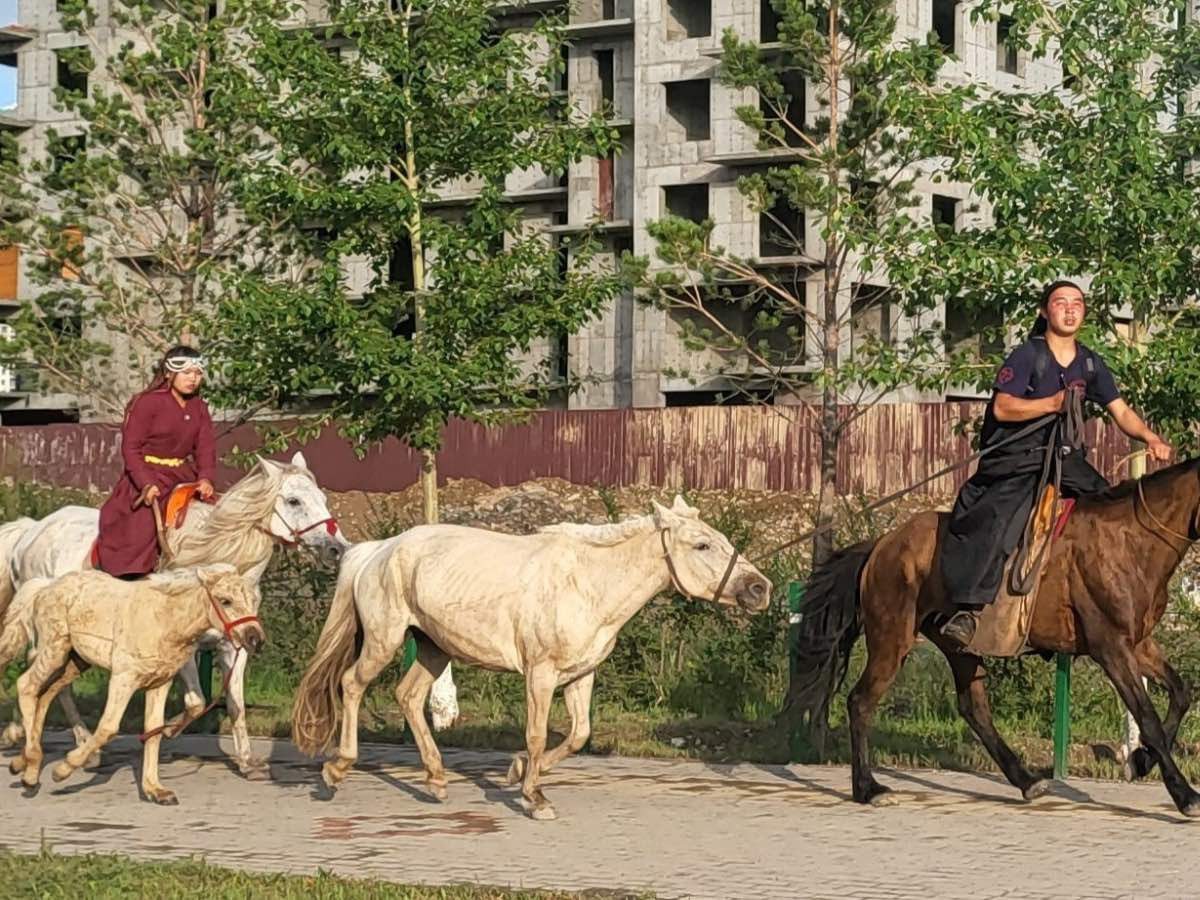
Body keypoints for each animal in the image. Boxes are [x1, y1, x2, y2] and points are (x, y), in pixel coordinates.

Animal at [0, 451, 350, 777]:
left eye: (323, 499)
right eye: (293, 500)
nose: (337, 548)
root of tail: (32, 530)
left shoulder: (234, 645)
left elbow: (235, 703)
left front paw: (246, 760)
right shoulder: (183, 648)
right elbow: (196, 703)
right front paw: (167, 731)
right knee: (42, 672)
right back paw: (61, 740)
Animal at [295, 496, 772, 820]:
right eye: (702, 545)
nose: (759, 589)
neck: (586, 584)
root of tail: (378, 550)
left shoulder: (582, 674)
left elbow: (578, 735)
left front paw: (517, 771)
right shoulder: (539, 674)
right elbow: (538, 734)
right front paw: (535, 797)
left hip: (432, 646)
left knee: (409, 697)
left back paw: (436, 780)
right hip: (385, 638)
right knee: (352, 684)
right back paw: (336, 770)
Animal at [792, 458, 1195, 816]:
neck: (1129, 541)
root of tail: (883, 544)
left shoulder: (1138, 645)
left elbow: (1181, 693)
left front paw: (1143, 761)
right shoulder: (1111, 648)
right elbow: (1148, 717)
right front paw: (1184, 794)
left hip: (957, 646)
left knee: (974, 708)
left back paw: (1027, 780)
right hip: (893, 639)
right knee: (861, 702)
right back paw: (868, 788)